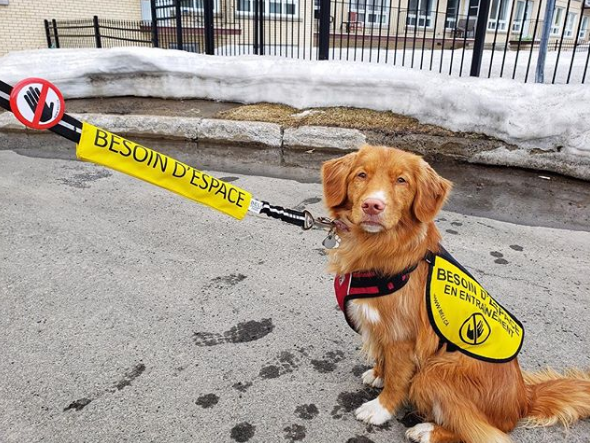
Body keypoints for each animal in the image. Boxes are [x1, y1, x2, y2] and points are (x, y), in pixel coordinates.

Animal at [322, 145, 590, 440]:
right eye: (361, 175)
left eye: (401, 181)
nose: (372, 205)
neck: (377, 247)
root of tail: (523, 400)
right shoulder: (382, 328)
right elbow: (384, 358)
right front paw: (379, 373)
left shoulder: (402, 337)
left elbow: (397, 379)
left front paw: (380, 409)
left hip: (435, 371)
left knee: (480, 432)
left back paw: (427, 431)